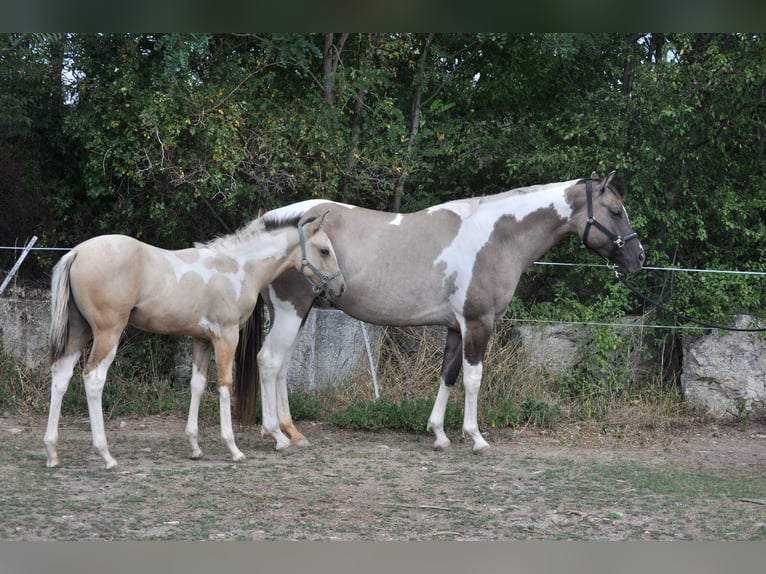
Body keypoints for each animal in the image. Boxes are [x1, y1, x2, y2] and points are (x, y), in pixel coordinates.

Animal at [43, 212, 345, 469]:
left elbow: (197, 385)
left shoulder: (202, 340)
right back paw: (106, 455)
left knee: (61, 375)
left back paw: (52, 452)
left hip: (79, 331)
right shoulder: (226, 336)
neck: (237, 267)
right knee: (93, 379)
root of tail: (77, 252)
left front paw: (195, 446)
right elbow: (224, 385)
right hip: (108, 332)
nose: (340, 288)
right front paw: (234, 448)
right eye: (324, 250)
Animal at [237, 171, 645, 453]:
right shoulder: (478, 323)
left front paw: (439, 434)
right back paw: (276, 436)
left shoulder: (455, 327)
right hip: (291, 310)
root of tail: (270, 219)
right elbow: (473, 378)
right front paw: (476, 438)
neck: (496, 238)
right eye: (615, 211)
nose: (638, 258)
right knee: (270, 362)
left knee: (281, 366)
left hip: (295, 312)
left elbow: (448, 375)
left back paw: (292, 432)